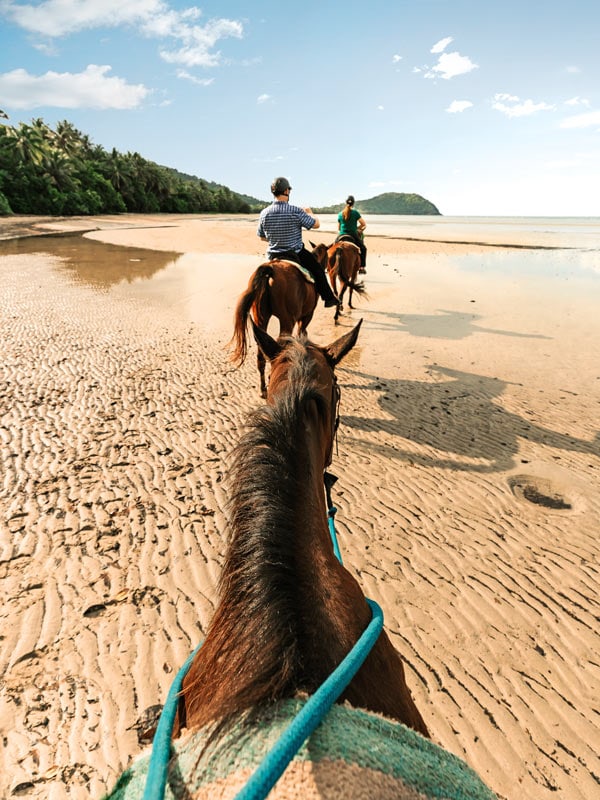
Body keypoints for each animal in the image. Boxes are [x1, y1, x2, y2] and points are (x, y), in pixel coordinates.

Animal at [230, 260, 322, 396]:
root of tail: (271, 268)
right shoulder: (307, 316)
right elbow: (302, 333)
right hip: (287, 321)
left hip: (261, 318)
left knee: (261, 353)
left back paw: (263, 388)